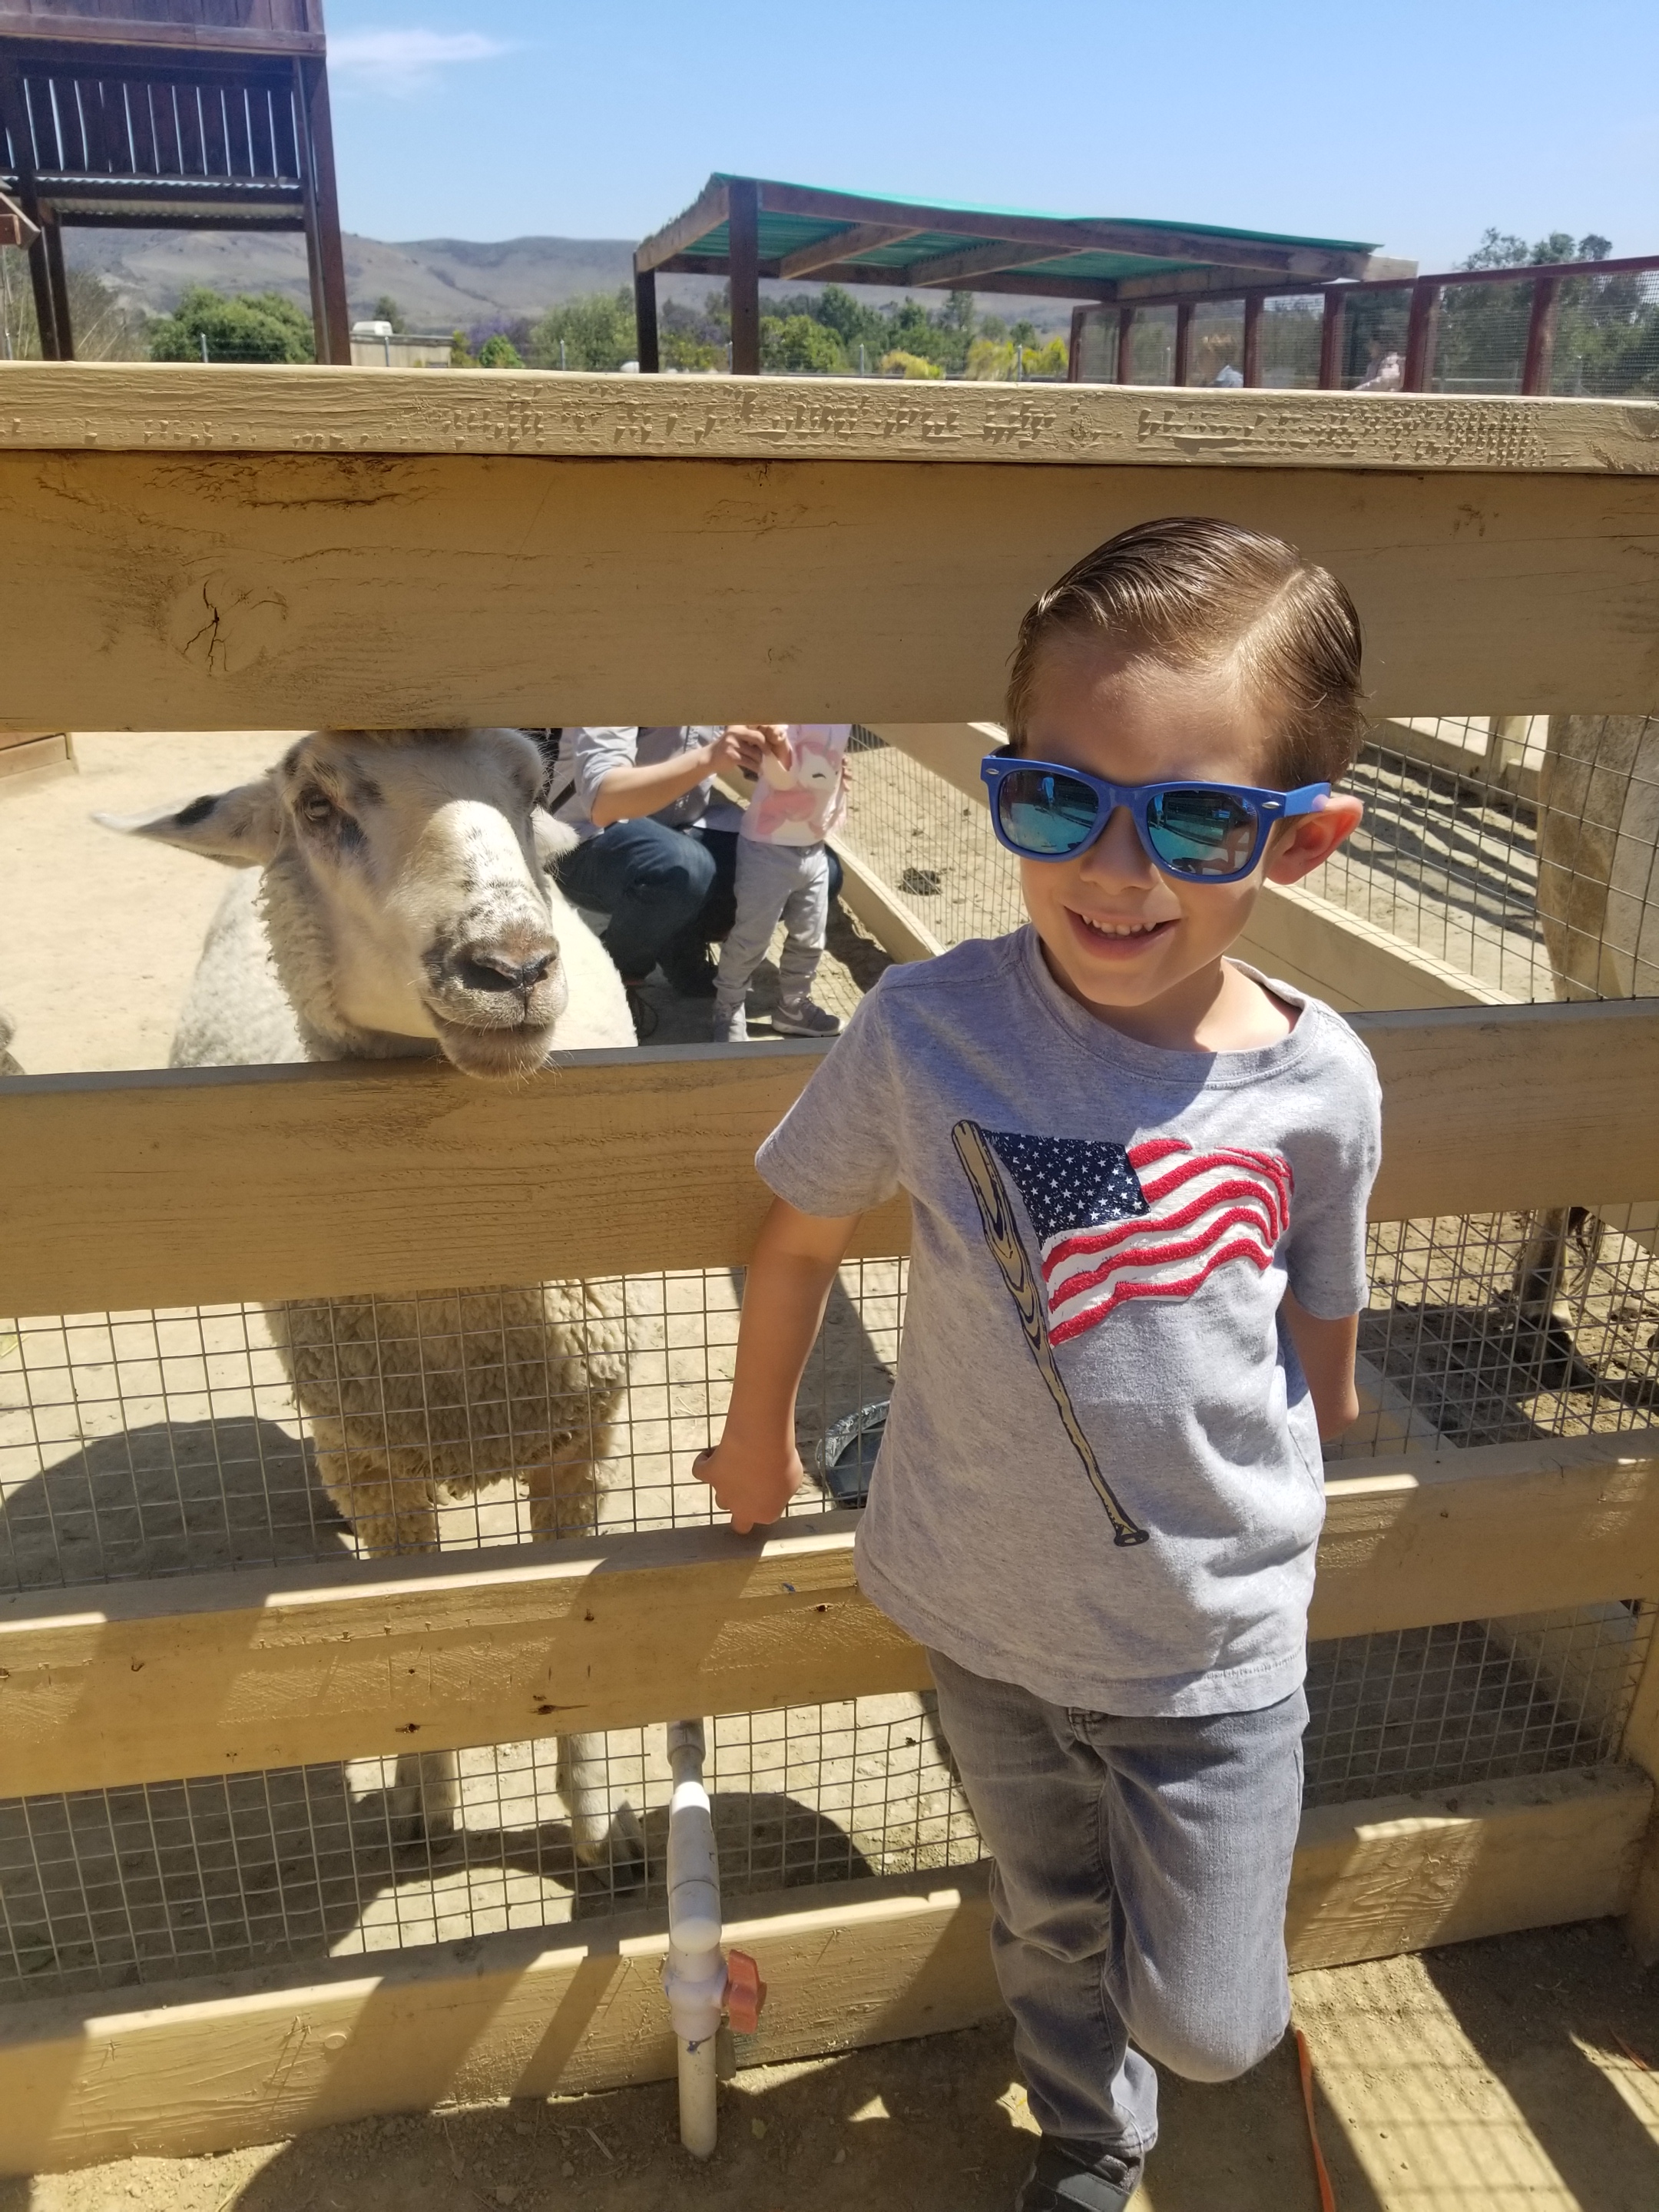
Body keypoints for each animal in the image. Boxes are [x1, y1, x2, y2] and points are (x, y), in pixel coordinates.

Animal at [102, 728, 641, 1875]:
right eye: (317, 805)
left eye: (531, 782)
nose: (512, 970)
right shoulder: (378, 1463)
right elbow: (405, 1639)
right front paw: (424, 1810)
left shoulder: (581, 1441)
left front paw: (594, 1824)